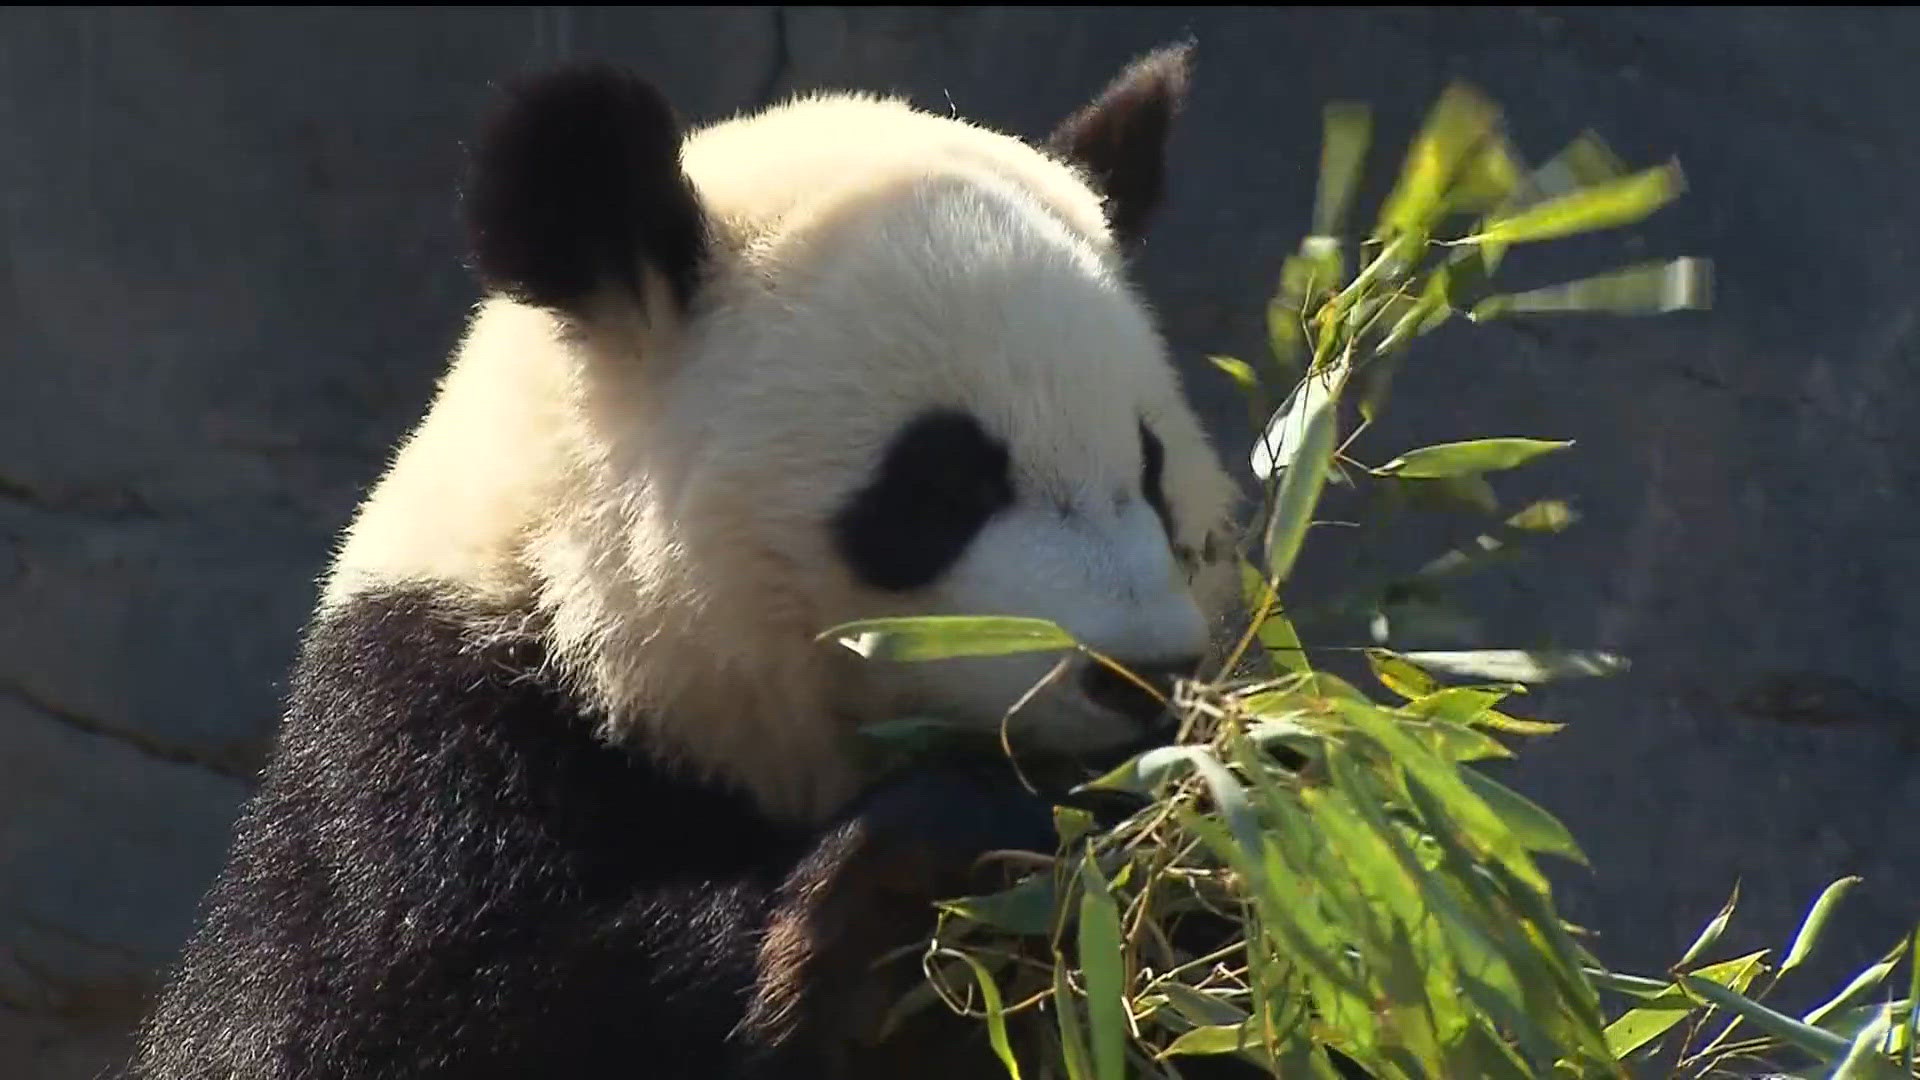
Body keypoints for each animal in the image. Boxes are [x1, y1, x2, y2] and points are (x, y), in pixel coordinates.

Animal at [131, 42, 1250, 1080]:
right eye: (941, 487)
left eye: (1153, 471)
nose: (1141, 673)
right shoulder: (421, 748)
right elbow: (389, 1016)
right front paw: (923, 872)